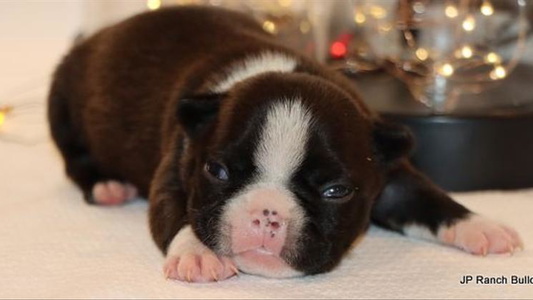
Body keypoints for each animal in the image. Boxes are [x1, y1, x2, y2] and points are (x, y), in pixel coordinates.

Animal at [47, 6, 520, 284]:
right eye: (217, 171)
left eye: (336, 191)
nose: (266, 214)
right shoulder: (178, 166)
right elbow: (173, 213)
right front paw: (197, 253)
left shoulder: (388, 171)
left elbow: (423, 197)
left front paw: (479, 225)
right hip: (63, 103)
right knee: (74, 158)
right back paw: (108, 185)